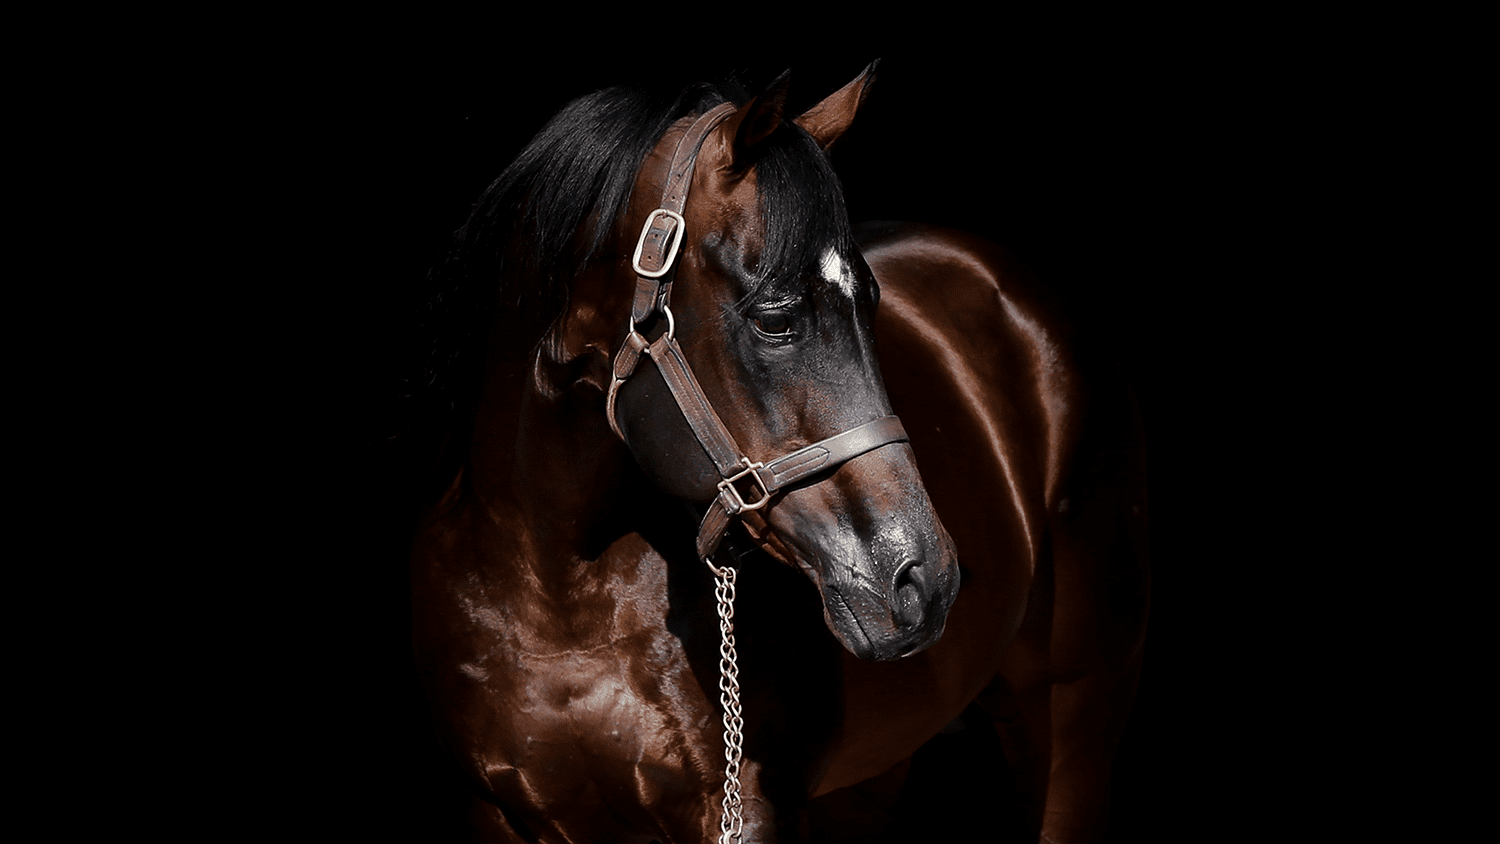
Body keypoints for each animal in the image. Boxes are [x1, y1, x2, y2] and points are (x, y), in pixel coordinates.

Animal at [408, 63, 1148, 843]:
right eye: (775, 318)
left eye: (871, 302)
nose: (923, 580)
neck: (557, 588)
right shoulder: (493, 811)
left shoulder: (752, 808)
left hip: (1076, 712)